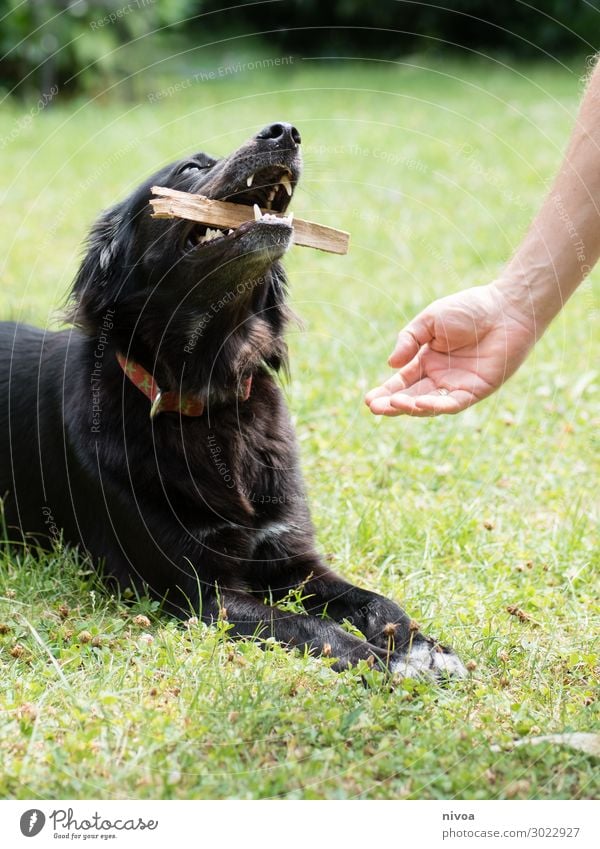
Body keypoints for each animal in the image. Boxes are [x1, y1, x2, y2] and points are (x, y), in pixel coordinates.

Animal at [0, 122, 464, 680]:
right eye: (189, 168)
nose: (284, 131)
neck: (212, 393)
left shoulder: (295, 562)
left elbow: (376, 600)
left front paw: (419, 645)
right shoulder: (203, 594)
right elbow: (314, 628)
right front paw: (381, 661)